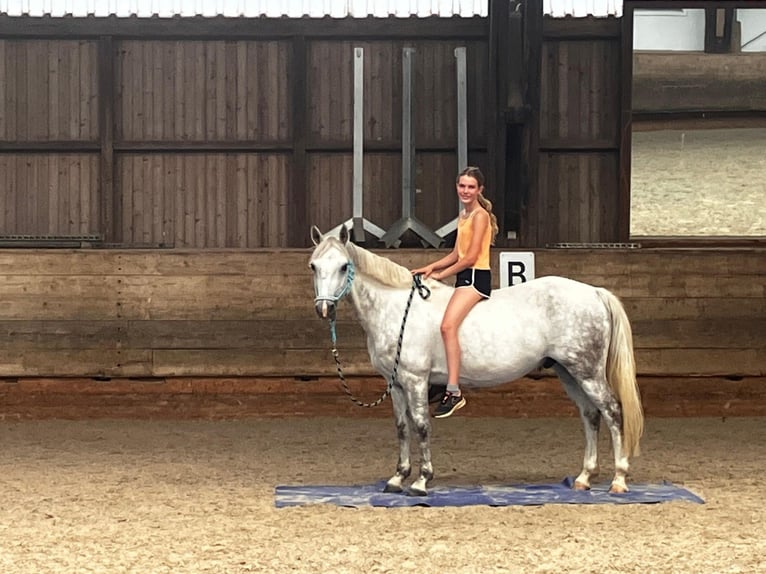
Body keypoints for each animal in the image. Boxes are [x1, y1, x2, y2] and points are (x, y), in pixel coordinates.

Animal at [309, 225, 644, 496]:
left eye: (343, 266)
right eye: (313, 266)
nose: (324, 310)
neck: (397, 307)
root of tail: (595, 292)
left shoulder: (416, 381)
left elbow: (421, 426)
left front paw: (421, 481)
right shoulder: (396, 385)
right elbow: (402, 427)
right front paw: (397, 478)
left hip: (588, 372)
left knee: (612, 411)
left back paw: (618, 479)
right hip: (568, 372)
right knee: (590, 415)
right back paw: (584, 477)